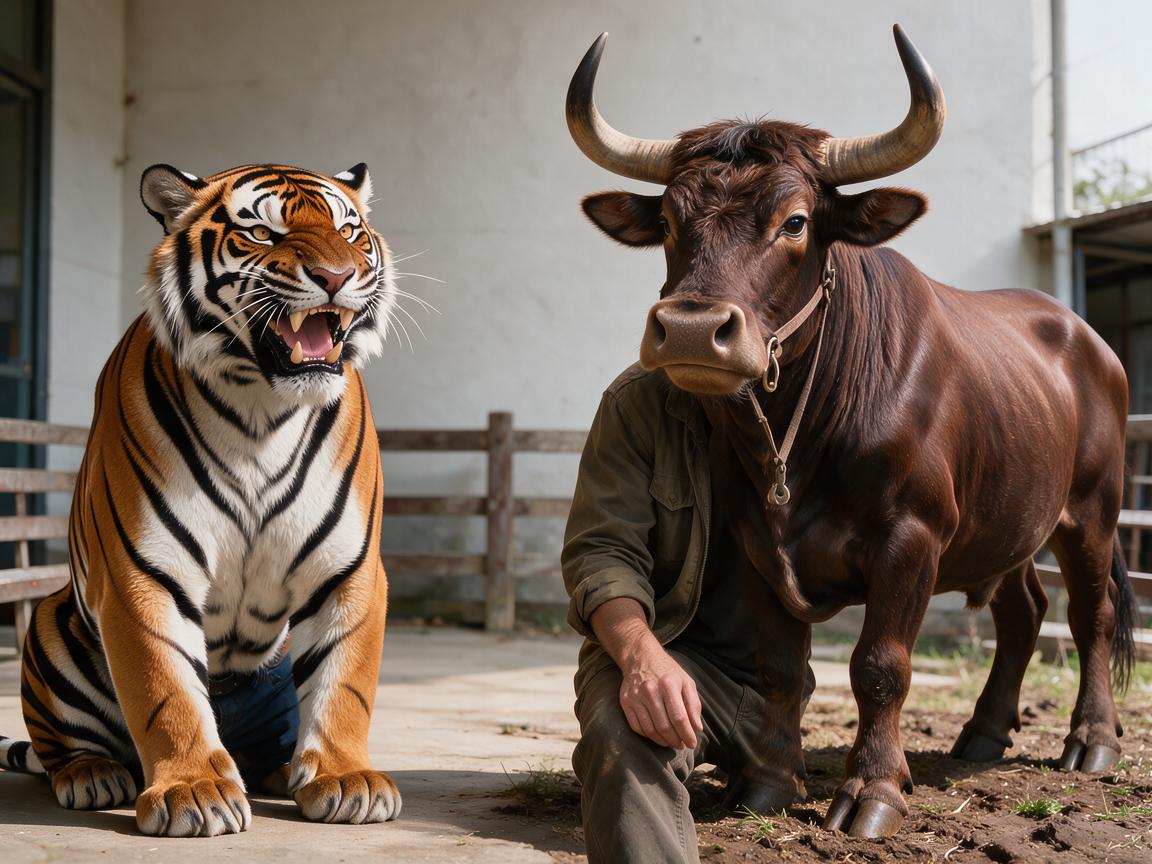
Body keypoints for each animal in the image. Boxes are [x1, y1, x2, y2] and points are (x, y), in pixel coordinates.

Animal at [0, 162, 405, 836]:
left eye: (348, 232)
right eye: (264, 233)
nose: (336, 277)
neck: (263, 408)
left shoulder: (348, 569)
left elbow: (345, 681)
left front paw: (346, 778)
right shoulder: (143, 571)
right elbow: (164, 688)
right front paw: (194, 791)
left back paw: (280, 771)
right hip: (53, 624)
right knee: (63, 745)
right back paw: (92, 775)